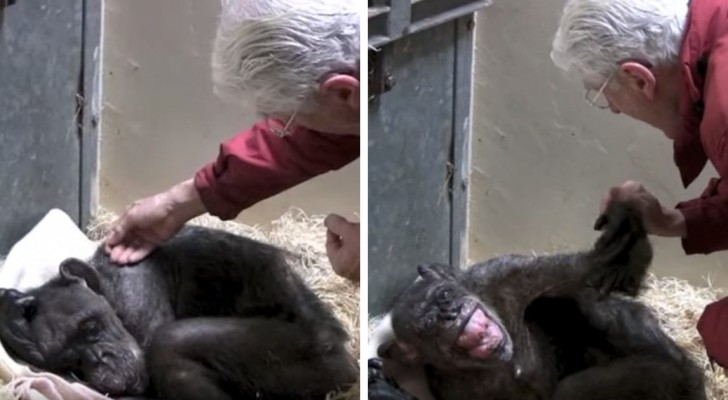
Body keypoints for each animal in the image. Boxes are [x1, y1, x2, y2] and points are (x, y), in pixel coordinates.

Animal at [0, 225, 356, 400]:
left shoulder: (136, 296)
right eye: (70, 361)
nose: (100, 358)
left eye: (89, 327)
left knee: (172, 342)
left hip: (308, 357)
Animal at [370, 203, 704, 400]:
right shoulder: (450, 391)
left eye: (444, 295)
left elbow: (571, 272)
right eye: (429, 325)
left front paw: (623, 244)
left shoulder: (501, 275)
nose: (449, 312)